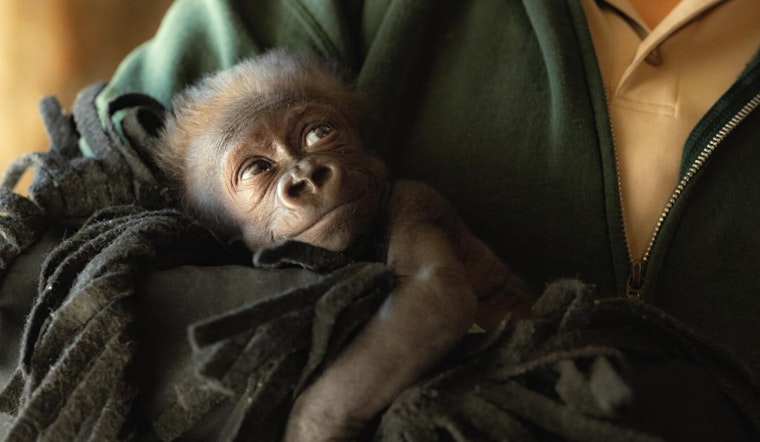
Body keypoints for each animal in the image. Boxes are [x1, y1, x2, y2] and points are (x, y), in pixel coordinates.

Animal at [157, 50, 535, 441]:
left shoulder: (414, 198)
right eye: (257, 169)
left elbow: (432, 296)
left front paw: (313, 426)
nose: (307, 177)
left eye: (318, 134)